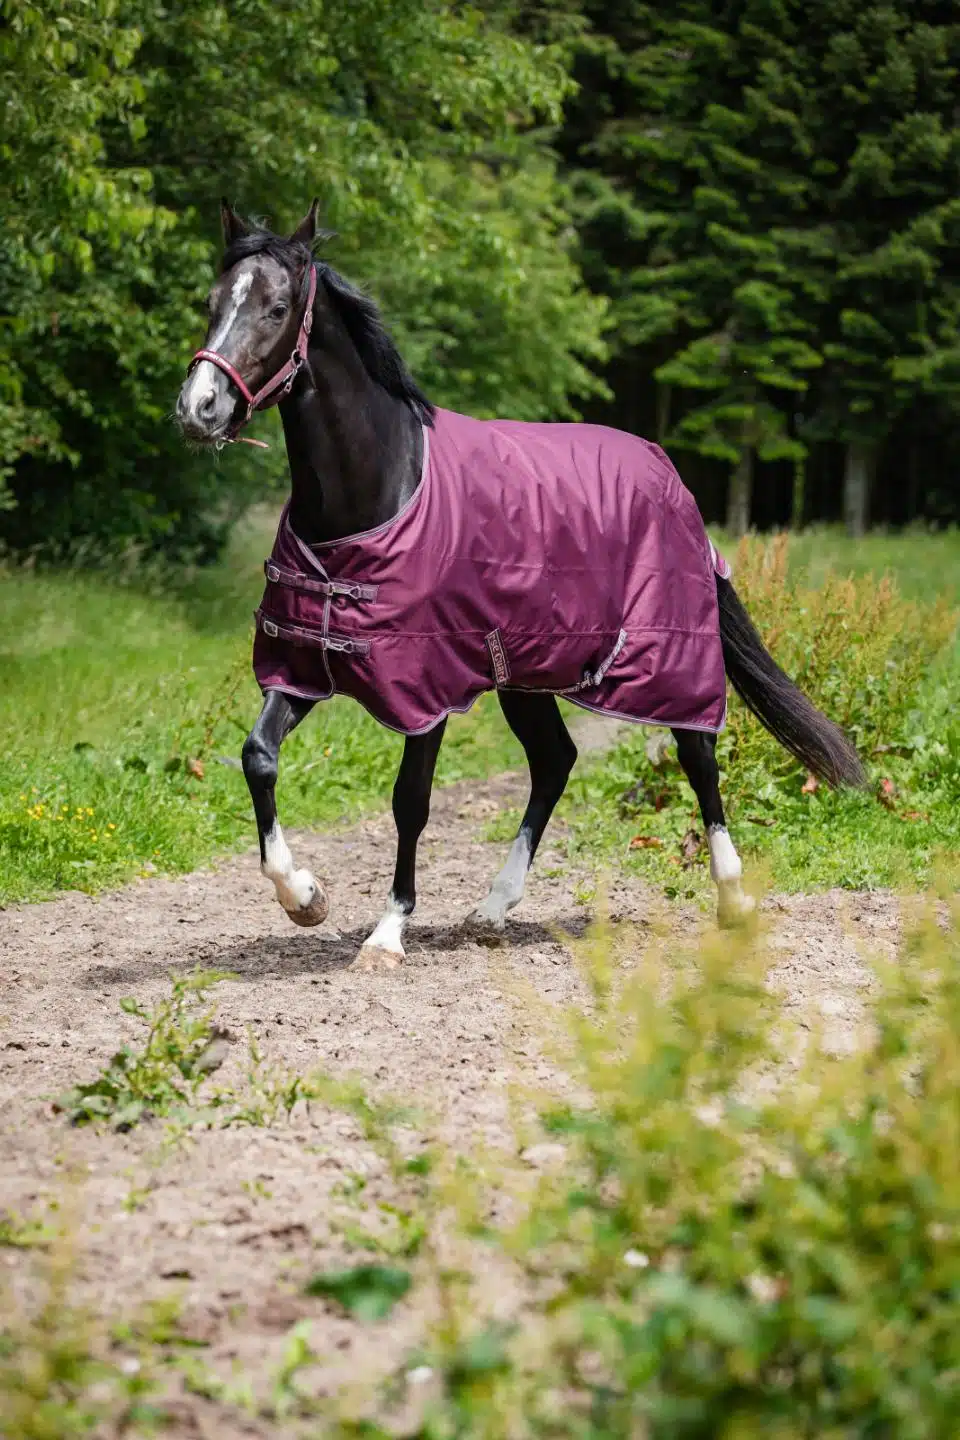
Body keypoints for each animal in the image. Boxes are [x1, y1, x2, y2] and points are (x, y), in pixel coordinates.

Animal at [176, 200, 865, 972]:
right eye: (211, 302)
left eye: (276, 307)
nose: (199, 408)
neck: (377, 494)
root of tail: (671, 475)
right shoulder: (303, 665)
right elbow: (258, 758)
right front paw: (305, 897)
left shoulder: (428, 690)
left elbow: (409, 801)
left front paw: (387, 933)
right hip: (527, 672)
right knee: (556, 761)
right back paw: (492, 909)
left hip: (671, 658)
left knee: (698, 757)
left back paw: (732, 899)